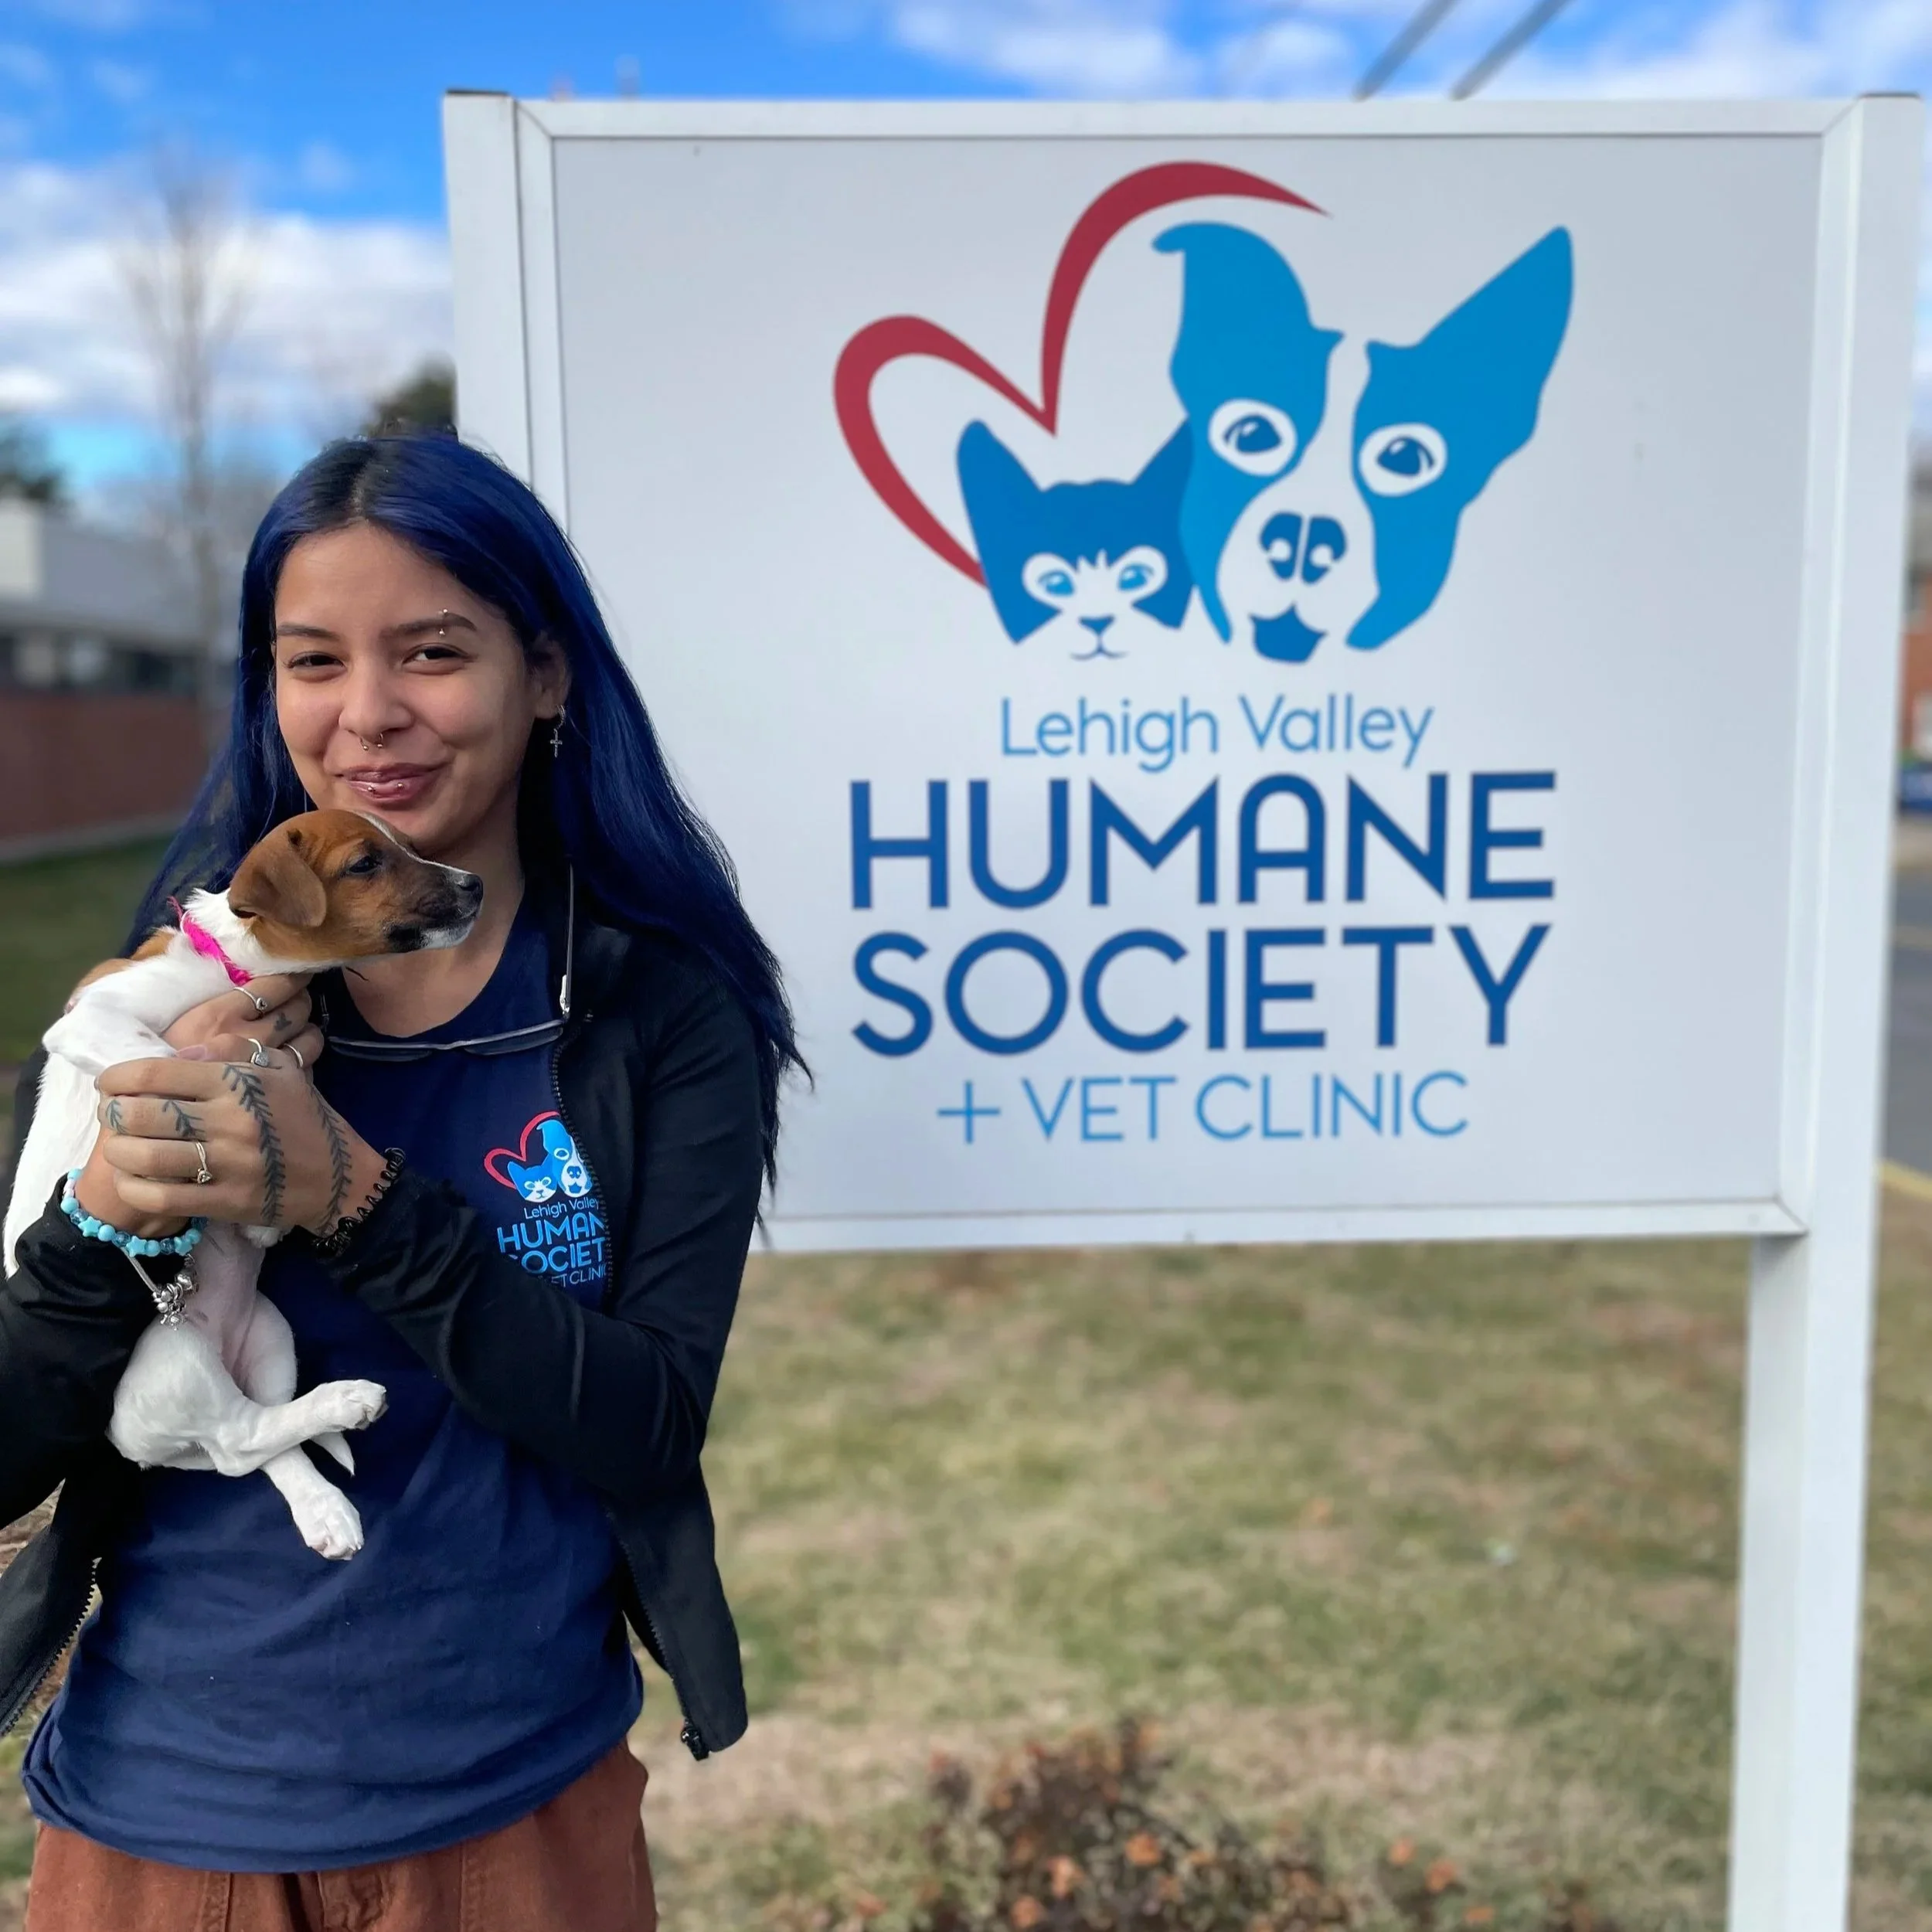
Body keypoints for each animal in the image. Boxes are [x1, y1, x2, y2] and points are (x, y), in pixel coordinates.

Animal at [3, 810, 483, 1560]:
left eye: (404, 848)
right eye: (365, 864)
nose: (475, 885)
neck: (234, 964)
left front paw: (263, 1217)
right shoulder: (93, 1020)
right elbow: (177, 1063)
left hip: (268, 1333)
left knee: (262, 1437)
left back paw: (325, 1505)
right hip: (175, 1355)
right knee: (238, 1439)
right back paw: (347, 1402)